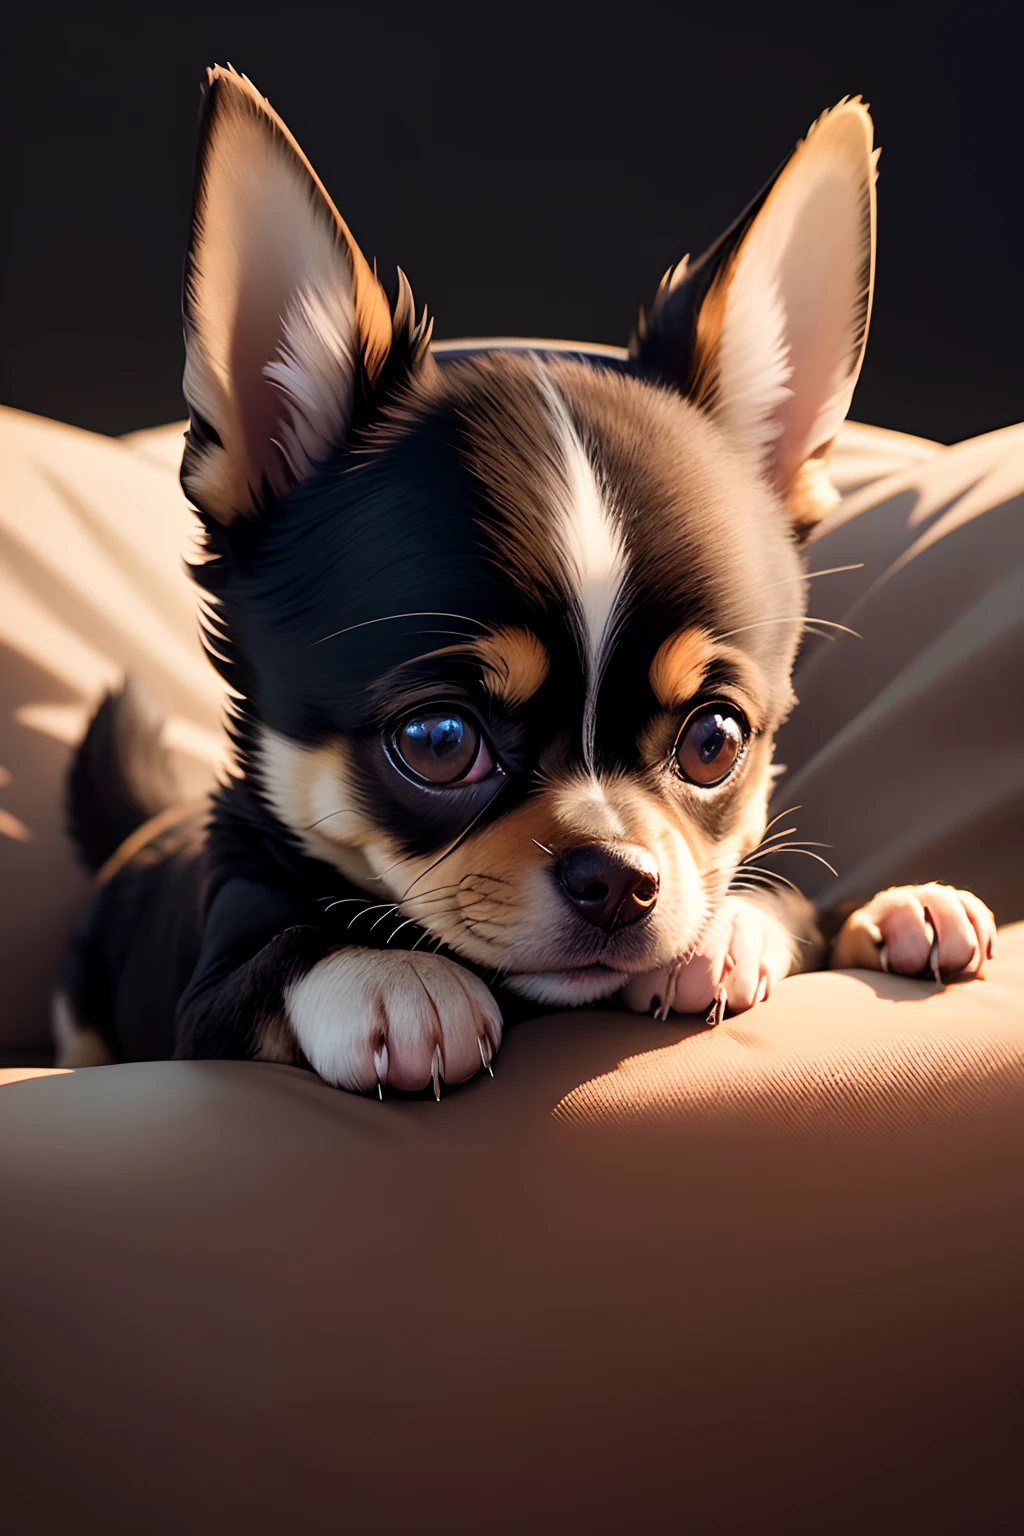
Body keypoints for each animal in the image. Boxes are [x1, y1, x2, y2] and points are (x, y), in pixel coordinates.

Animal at [52, 69, 994, 1093]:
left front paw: (851, 916)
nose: (617, 875)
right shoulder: (207, 1010)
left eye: (715, 741)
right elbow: (282, 956)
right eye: (437, 741)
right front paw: (389, 975)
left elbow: (791, 904)